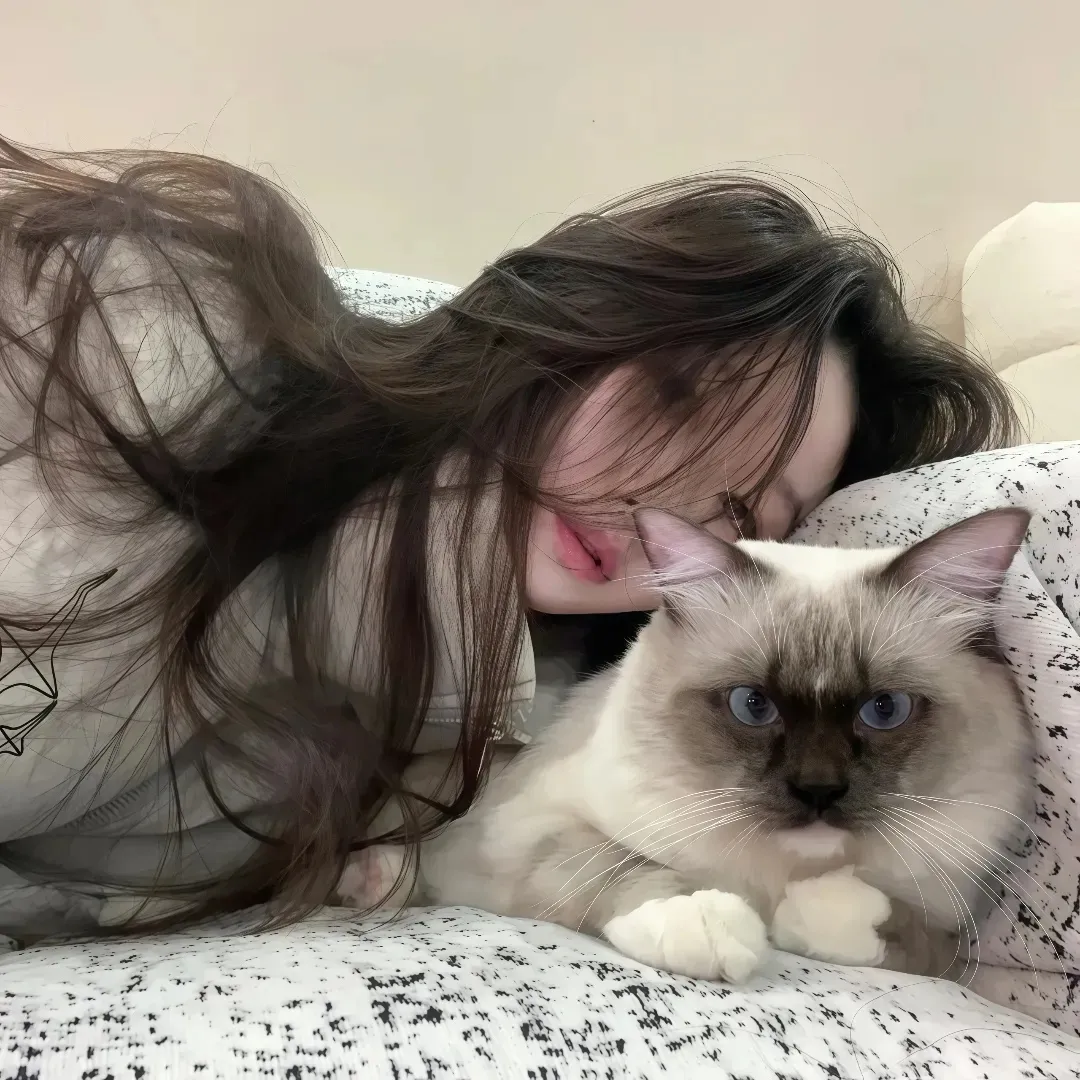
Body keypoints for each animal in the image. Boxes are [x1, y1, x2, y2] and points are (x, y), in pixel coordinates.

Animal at [337, 506, 1034, 984]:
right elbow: (615, 863)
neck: (778, 879)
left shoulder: (951, 925)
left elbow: (914, 938)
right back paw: (371, 881)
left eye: (883, 710)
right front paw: (703, 919)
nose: (817, 790)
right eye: (751, 705)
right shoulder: (524, 830)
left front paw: (824, 914)